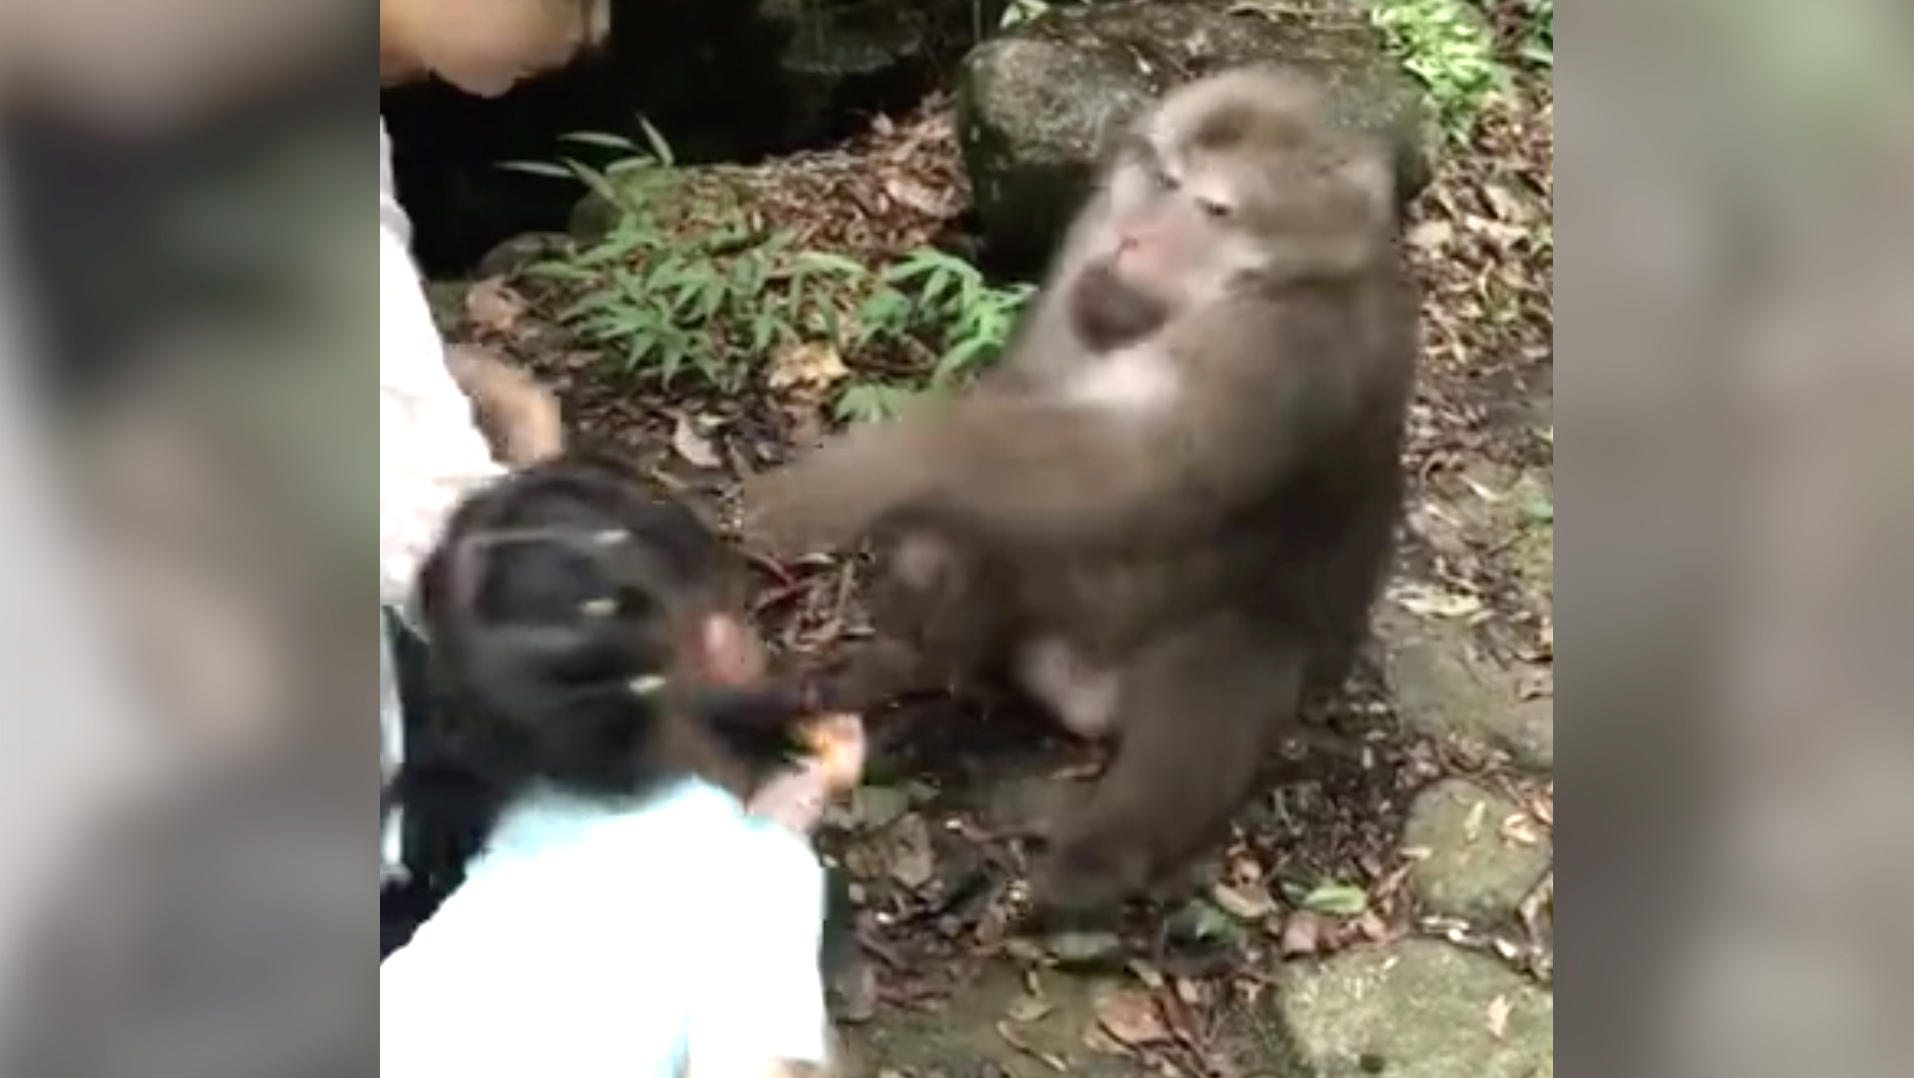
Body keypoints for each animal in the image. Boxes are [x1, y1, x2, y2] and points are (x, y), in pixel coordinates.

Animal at [742, 65, 1424, 911]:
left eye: (1213, 209)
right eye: (1164, 181)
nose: (1136, 240)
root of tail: (1080, 700)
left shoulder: (1283, 349)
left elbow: (1140, 473)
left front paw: (864, 475)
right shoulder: (1090, 238)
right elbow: (1030, 403)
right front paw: (910, 556)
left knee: (1217, 665)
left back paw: (1094, 866)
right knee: (1001, 540)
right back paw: (896, 672)